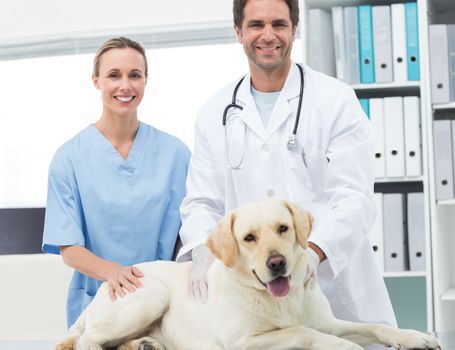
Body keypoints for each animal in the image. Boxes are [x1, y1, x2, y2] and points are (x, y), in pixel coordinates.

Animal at [56, 200, 442, 350]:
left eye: (283, 228)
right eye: (248, 238)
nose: (277, 263)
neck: (282, 300)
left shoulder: (329, 322)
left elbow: (375, 327)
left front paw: (415, 337)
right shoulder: (244, 341)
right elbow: (303, 332)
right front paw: (344, 346)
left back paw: (147, 344)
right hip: (151, 294)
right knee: (87, 341)